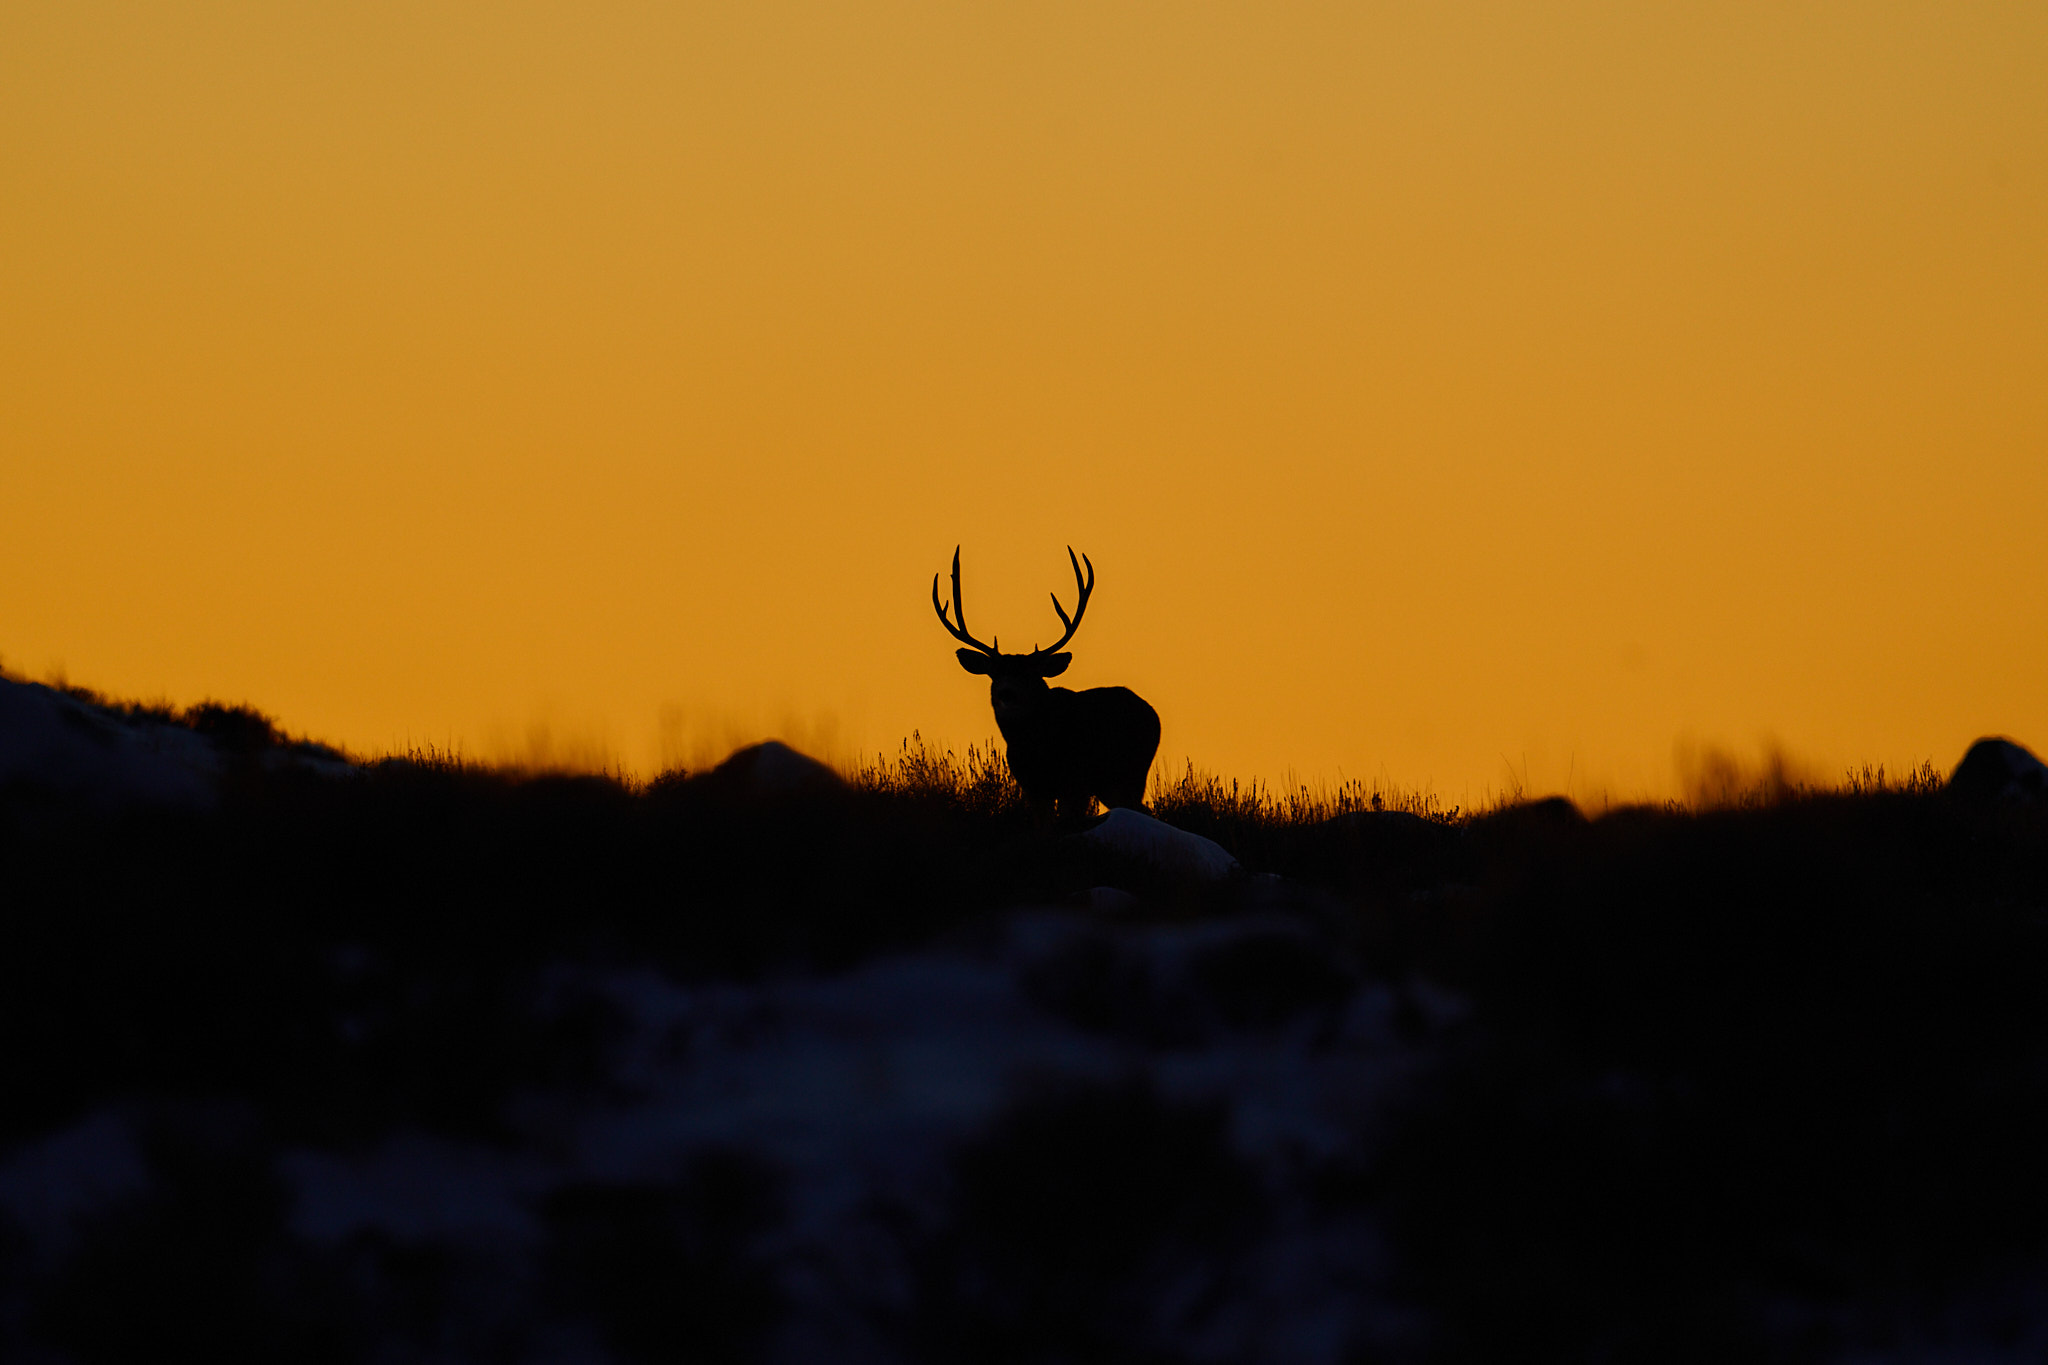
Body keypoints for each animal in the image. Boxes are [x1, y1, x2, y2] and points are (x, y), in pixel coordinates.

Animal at [933, 546, 1161, 824]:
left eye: (1031, 674)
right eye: (994, 674)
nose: (1007, 693)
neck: (1037, 747)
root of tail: (1151, 712)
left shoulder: (1075, 782)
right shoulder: (1032, 788)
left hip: (1133, 772)